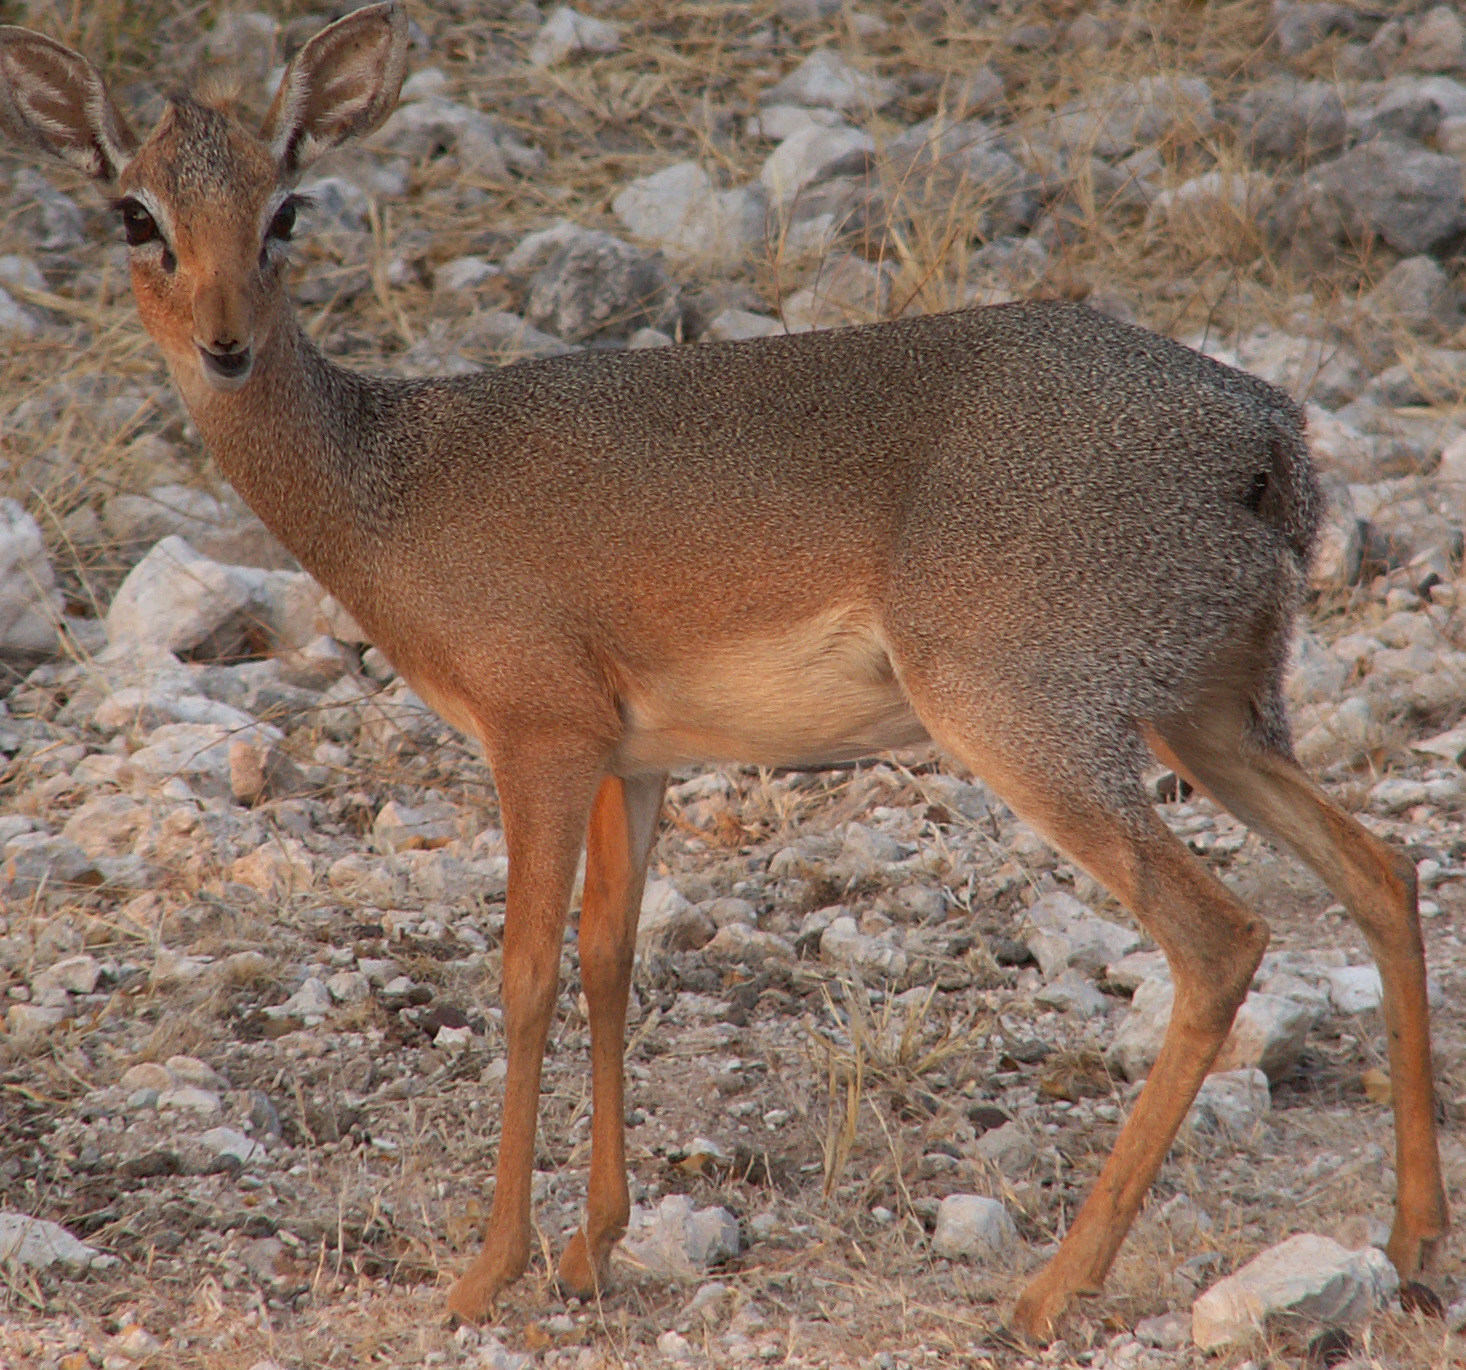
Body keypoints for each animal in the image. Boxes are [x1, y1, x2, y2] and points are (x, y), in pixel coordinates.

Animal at [0, 5, 1442, 1342]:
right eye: (137, 210)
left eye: (286, 203)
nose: (225, 342)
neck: (383, 480)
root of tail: (1261, 432)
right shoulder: (629, 760)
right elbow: (608, 959)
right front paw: (589, 1248)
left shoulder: (535, 737)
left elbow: (522, 974)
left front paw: (487, 1269)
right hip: (1212, 719)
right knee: (1379, 868)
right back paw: (1411, 1243)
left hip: (1029, 723)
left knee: (1220, 935)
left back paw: (1049, 1288)